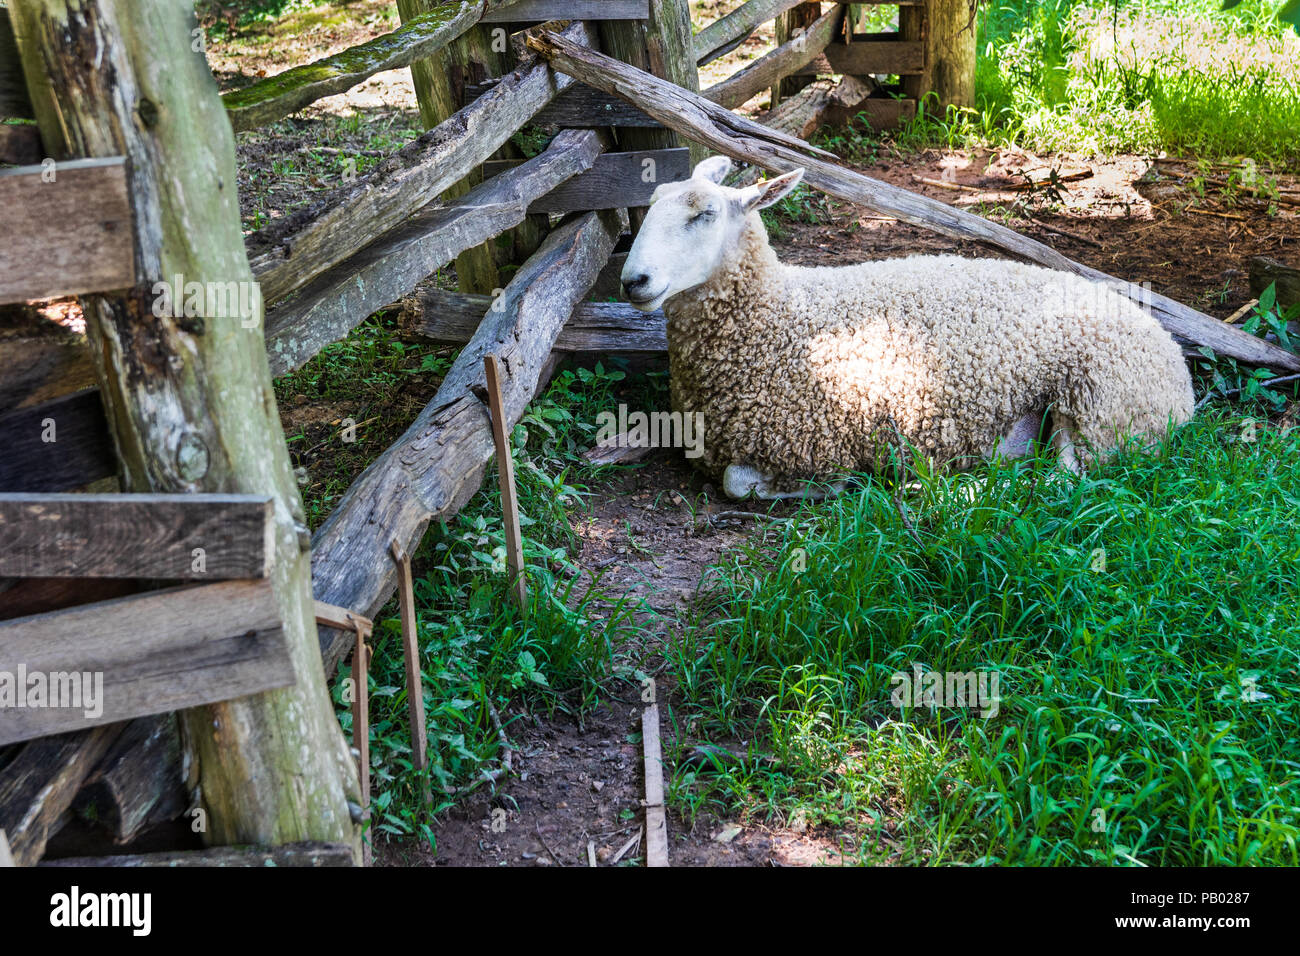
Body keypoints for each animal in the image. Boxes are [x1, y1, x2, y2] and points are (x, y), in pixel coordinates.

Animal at [618, 155, 1196, 502]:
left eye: (705, 215)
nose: (633, 280)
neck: (780, 316)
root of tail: (1177, 366)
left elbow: (738, 483)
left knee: (1060, 483)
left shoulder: (807, 438)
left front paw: (825, 485)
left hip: (1099, 405)